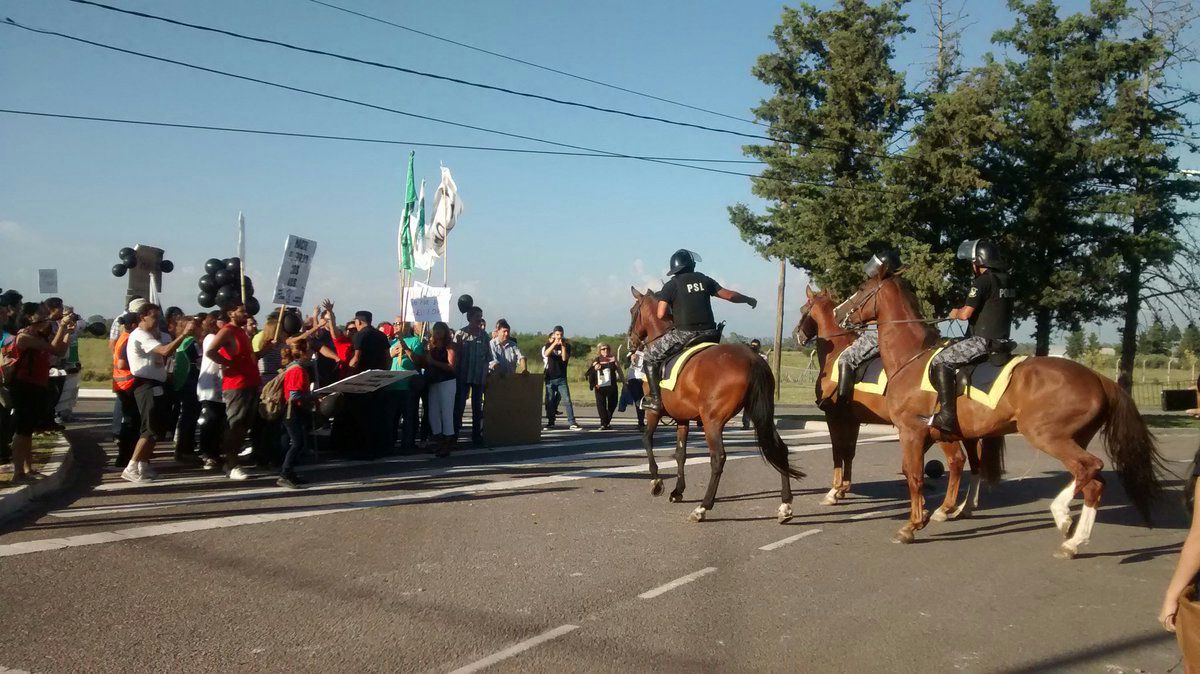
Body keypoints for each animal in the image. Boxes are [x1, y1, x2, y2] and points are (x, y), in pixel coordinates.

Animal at [628, 285, 806, 522]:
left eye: (632, 311)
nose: (631, 342)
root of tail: (753, 359)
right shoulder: (683, 419)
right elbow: (680, 454)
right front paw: (677, 491)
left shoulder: (653, 413)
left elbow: (647, 440)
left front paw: (657, 482)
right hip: (762, 414)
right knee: (780, 448)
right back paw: (785, 505)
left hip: (712, 421)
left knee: (718, 458)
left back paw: (703, 507)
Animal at [792, 283, 998, 513]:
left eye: (803, 309)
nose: (797, 335)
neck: (837, 353)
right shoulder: (853, 420)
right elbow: (849, 451)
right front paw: (844, 487)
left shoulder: (834, 416)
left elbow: (838, 450)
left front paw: (834, 491)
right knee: (976, 458)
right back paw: (967, 503)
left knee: (961, 459)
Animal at [844, 273, 1161, 556]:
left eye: (862, 288)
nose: (841, 314)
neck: (912, 358)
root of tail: (1099, 379)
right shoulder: (938, 434)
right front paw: (937, 514)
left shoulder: (912, 431)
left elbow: (915, 476)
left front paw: (912, 525)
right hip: (1073, 439)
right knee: (1094, 482)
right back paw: (1072, 542)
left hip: (1049, 437)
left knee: (1090, 468)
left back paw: (1061, 515)